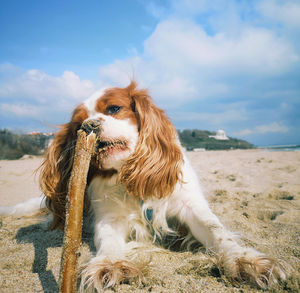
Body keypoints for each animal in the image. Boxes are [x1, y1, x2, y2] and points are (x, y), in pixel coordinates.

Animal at [1, 81, 286, 290]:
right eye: (76, 125)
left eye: (114, 109)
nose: (87, 125)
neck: (128, 177)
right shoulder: (109, 217)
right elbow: (108, 239)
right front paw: (110, 264)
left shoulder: (189, 205)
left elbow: (216, 230)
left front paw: (246, 261)